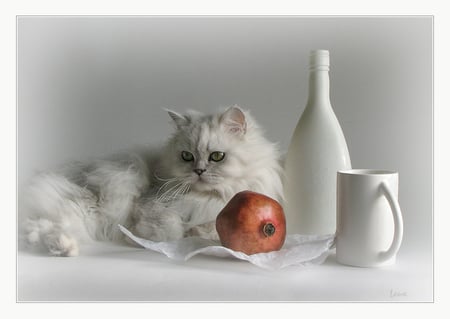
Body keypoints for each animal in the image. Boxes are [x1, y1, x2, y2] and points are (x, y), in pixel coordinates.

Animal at [21, 107, 284, 258]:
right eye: (186, 156)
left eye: (217, 156)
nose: (198, 171)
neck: (206, 198)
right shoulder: (152, 204)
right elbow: (170, 231)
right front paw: (143, 238)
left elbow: (206, 230)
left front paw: (197, 231)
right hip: (84, 206)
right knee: (34, 226)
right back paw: (64, 248)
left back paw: (62, 247)